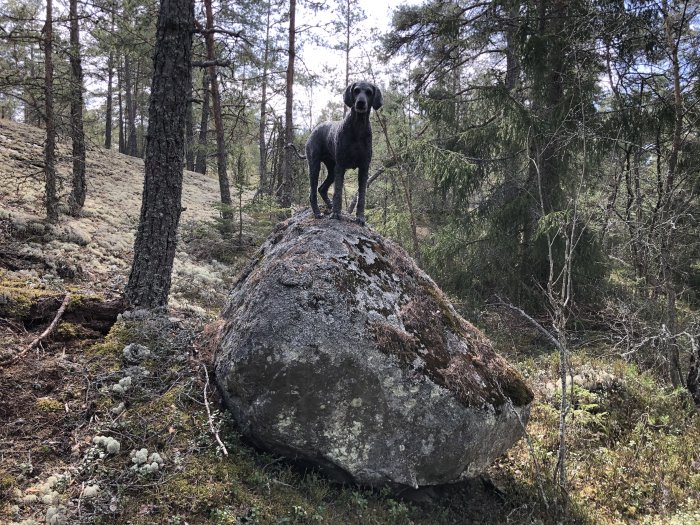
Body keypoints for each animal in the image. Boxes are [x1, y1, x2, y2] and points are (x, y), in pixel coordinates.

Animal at [304, 81, 382, 224]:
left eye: (369, 92)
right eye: (356, 91)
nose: (360, 103)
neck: (358, 127)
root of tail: (315, 129)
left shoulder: (364, 168)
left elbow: (362, 195)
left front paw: (360, 217)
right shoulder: (341, 166)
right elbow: (338, 191)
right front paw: (336, 214)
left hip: (331, 170)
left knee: (322, 189)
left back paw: (329, 206)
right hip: (315, 166)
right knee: (313, 192)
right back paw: (318, 212)